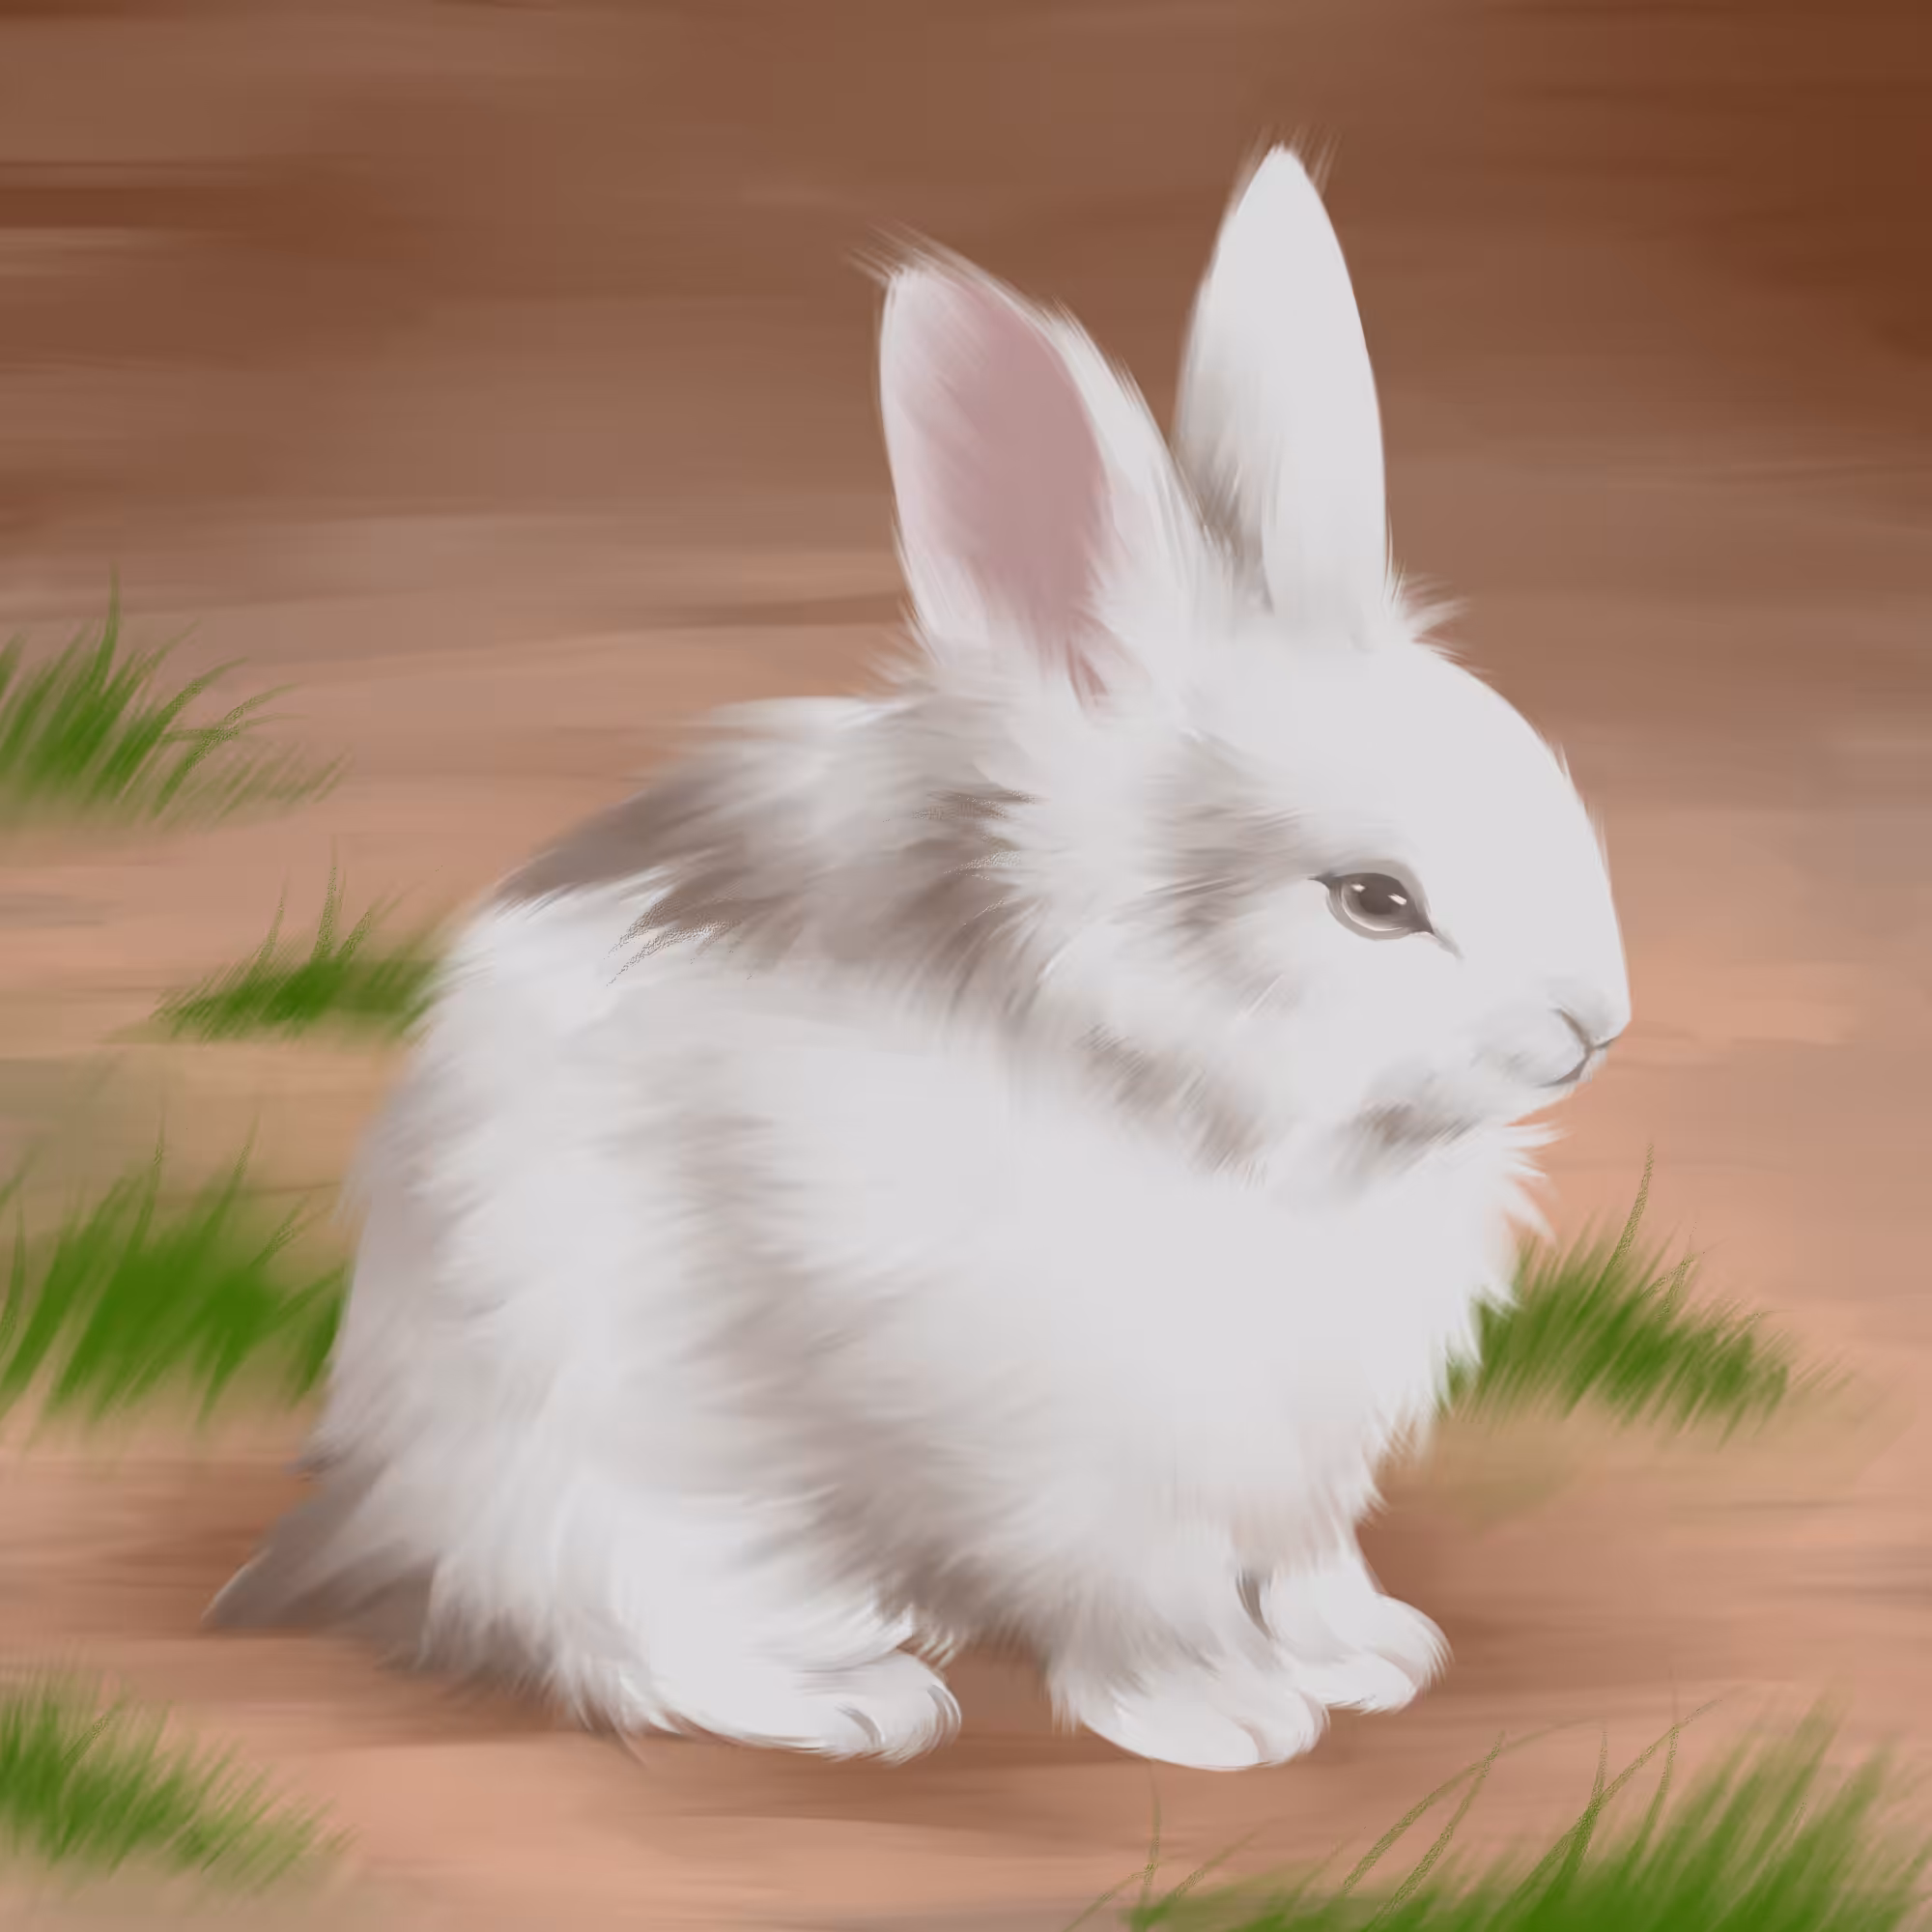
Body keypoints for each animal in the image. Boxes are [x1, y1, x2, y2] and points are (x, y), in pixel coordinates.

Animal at [208, 145, 1629, 1773]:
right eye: (1375, 902)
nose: (1596, 1024)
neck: (1225, 1121)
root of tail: (378, 1505)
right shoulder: (1074, 1455)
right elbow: (1142, 1596)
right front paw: (1226, 1717)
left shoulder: (1295, 1457)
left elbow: (1308, 1559)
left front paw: (1374, 1656)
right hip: (617, 1482)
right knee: (630, 1639)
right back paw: (859, 1697)